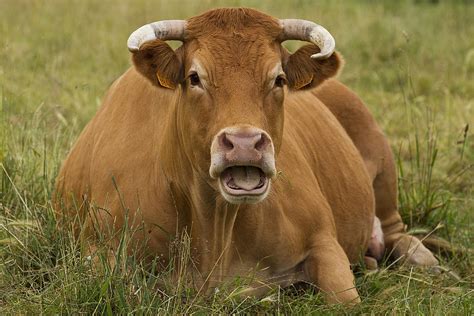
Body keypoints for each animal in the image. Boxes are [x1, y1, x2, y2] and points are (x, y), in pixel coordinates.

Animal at [54, 7, 436, 304]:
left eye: (279, 78)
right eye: (194, 77)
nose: (244, 142)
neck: (215, 229)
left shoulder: (324, 242)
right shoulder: (97, 251)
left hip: (382, 168)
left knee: (395, 229)